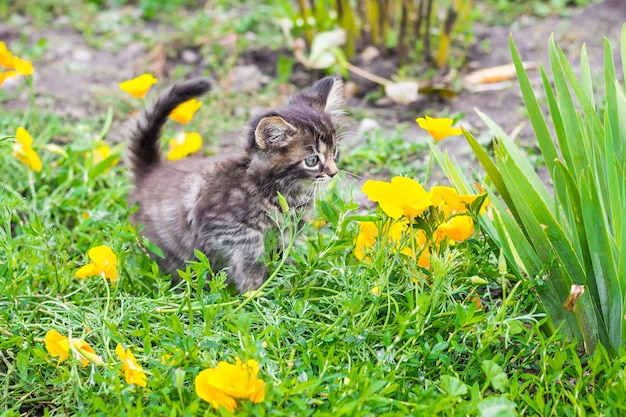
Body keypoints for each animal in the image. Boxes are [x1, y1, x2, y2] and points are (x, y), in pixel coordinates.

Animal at [124, 75, 344, 290]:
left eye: (334, 152)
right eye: (312, 160)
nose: (334, 173)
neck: (282, 191)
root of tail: (150, 171)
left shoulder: (290, 230)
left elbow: (284, 255)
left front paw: (286, 281)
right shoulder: (222, 223)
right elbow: (252, 252)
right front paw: (254, 290)